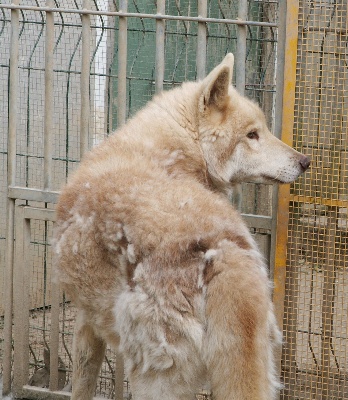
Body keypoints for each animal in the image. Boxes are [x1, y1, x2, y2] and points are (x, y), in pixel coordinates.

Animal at [54, 54, 310, 400]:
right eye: (253, 134)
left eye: (262, 131)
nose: (305, 161)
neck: (170, 151)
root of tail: (224, 249)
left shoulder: (85, 319)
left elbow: (81, 384)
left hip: (154, 378)